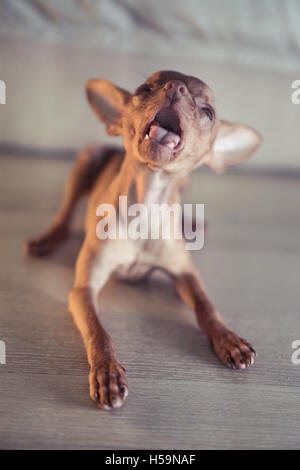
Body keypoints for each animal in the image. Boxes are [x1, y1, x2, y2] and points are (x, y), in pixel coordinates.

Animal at [24, 70, 262, 412]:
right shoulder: (84, 290)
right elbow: (98, 332)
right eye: (143, 90)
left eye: (208, 113)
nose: (175, 88)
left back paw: (190, 222)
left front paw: (229, 339)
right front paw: (107, 373)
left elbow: (206, 307)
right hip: (88, 159)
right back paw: (47, 240)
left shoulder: (185, 274)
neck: (145, 205)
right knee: (65, 213)